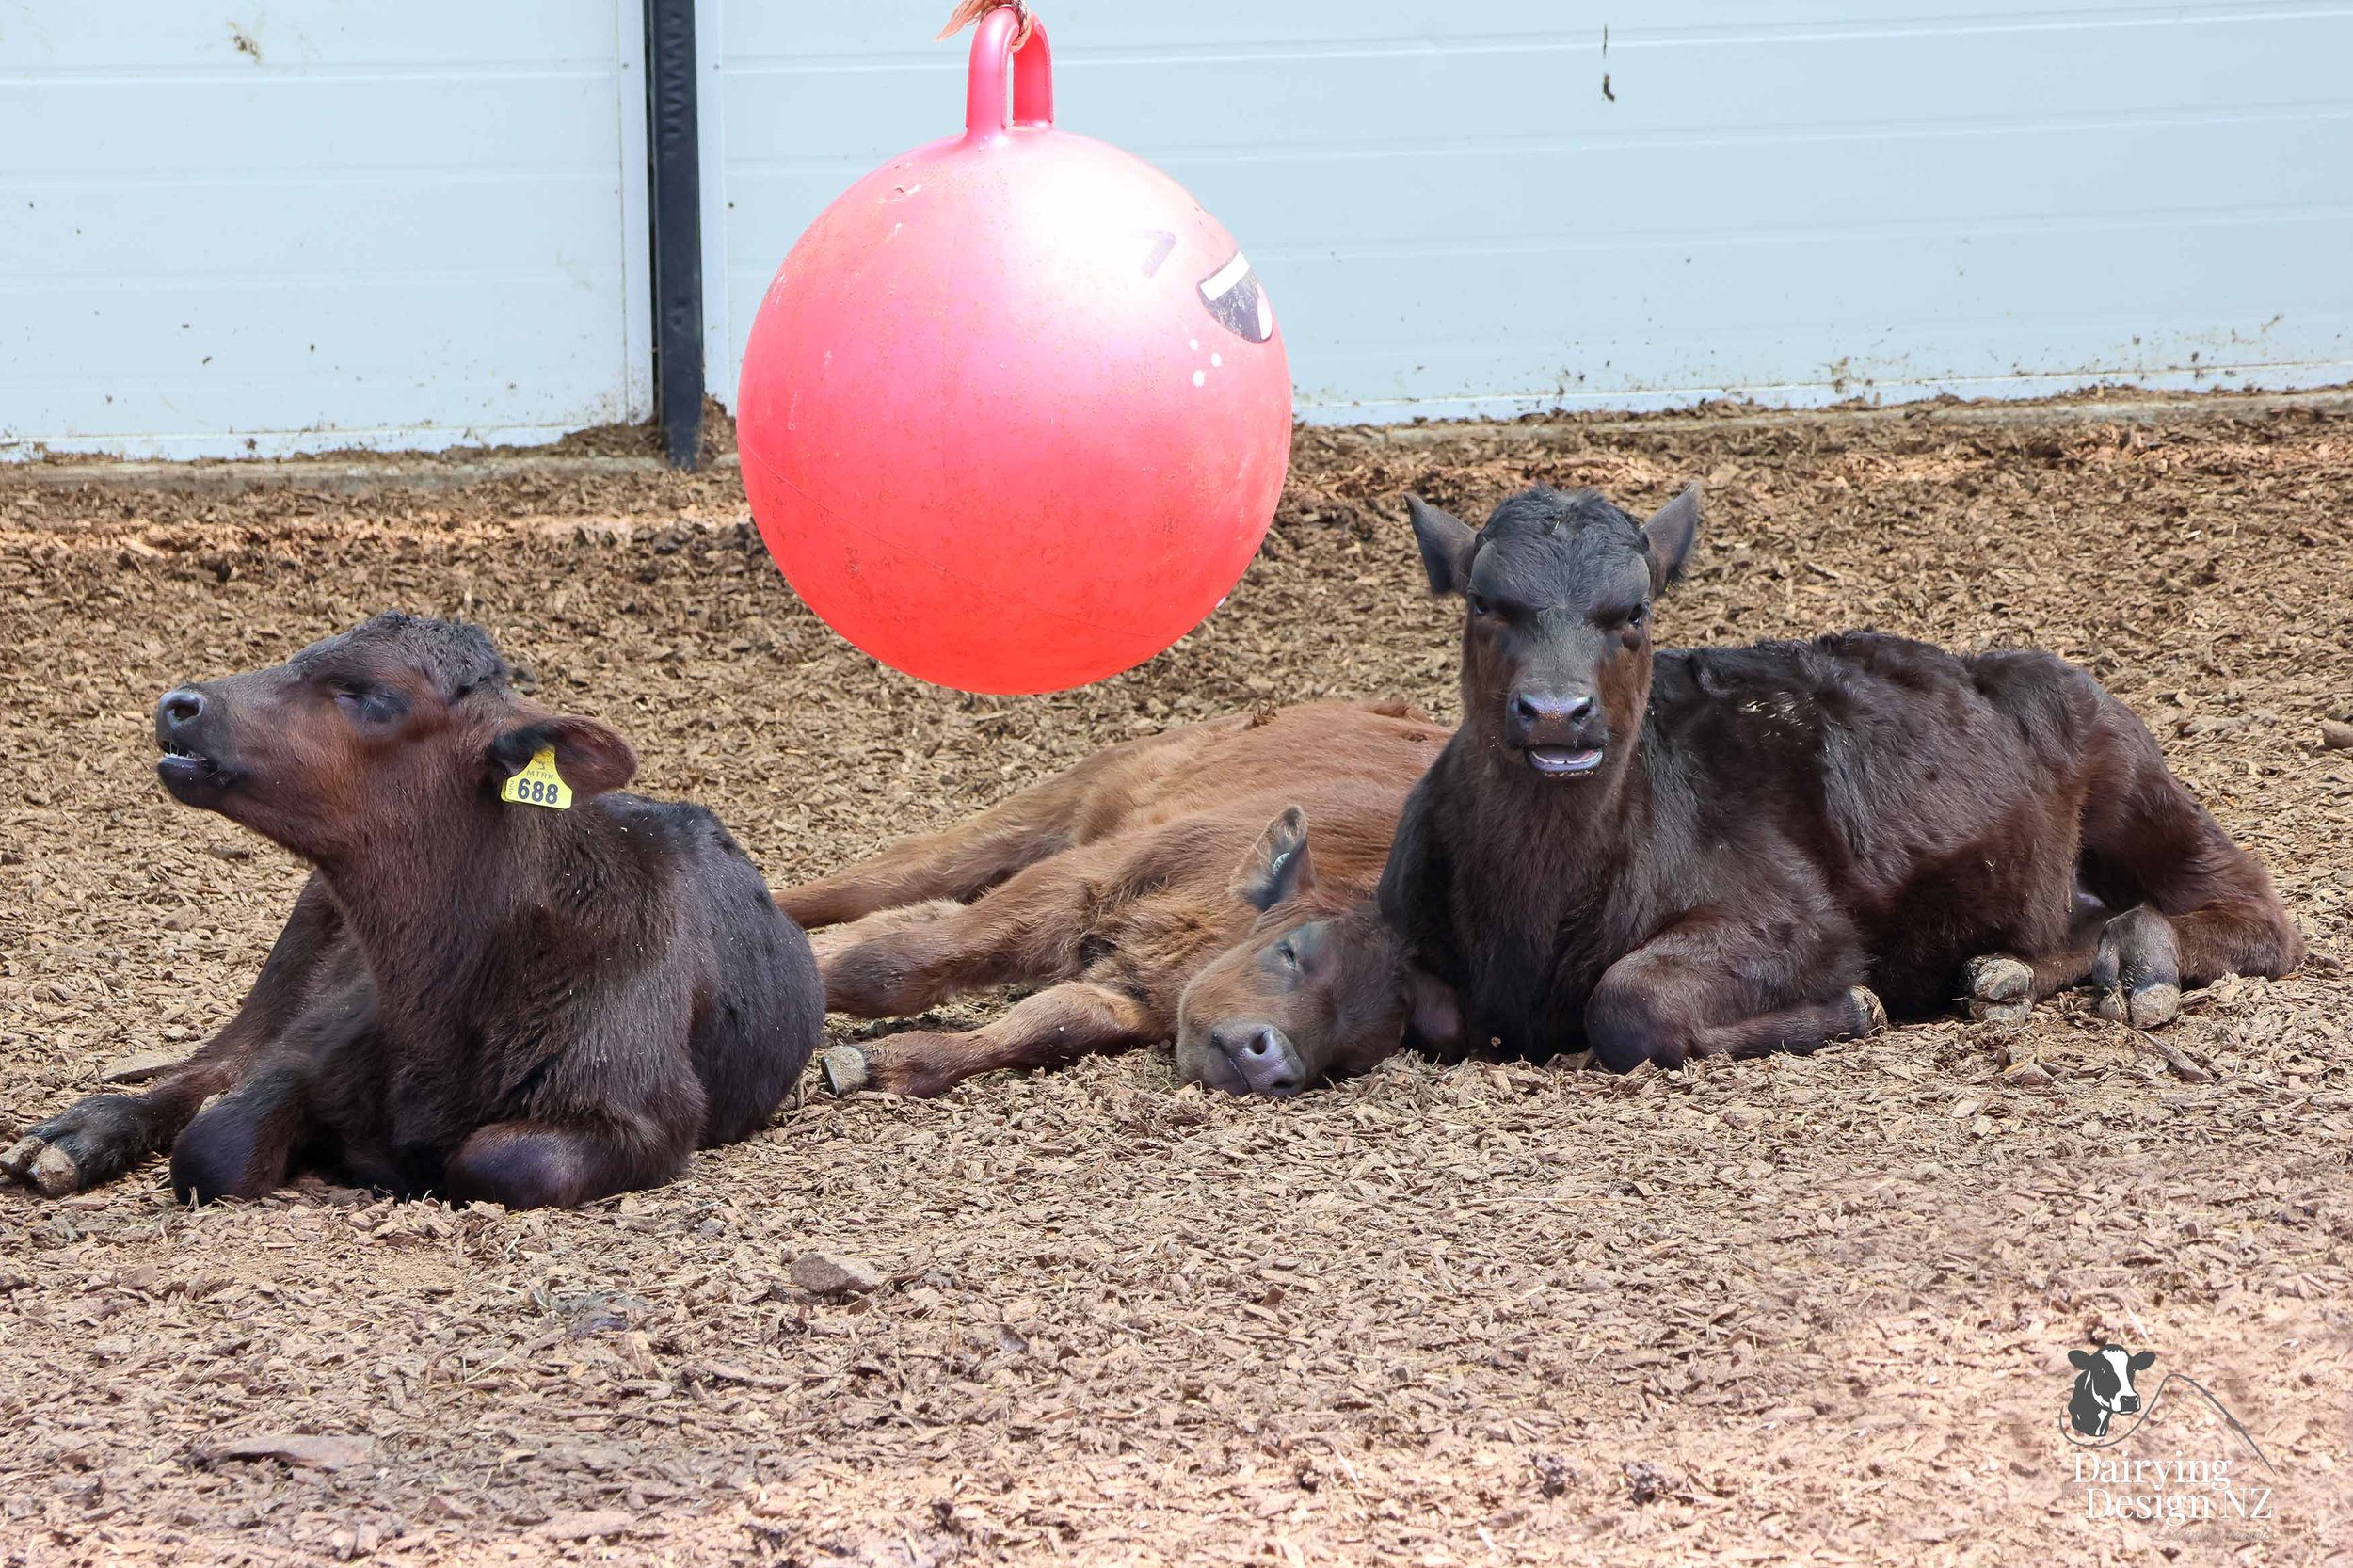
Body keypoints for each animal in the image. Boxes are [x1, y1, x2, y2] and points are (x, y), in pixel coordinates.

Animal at [1, 614, 822, 1208]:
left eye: (371, 696)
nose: (181, 703)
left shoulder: (647, 1113)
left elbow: (505, 1161)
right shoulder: (311, 1041)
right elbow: (215, 1143)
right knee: (207, 1068)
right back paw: (70, 1139)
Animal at [775, 702, 1451, 1098]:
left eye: (1349, 1057)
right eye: (1290, 951)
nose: (1271, 1059)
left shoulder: (1133, 995)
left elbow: (1051, 1024)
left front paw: (875, 1062)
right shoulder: (1076, 882)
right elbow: (893, 968)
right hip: (1055, 803)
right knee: (894, 875)